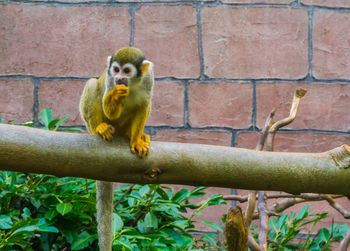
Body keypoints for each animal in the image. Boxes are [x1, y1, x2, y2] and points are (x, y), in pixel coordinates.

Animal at [80, 47, 154, 251]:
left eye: (126, 71)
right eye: (116, 69)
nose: (120, 78)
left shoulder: (148, 78)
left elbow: (144, 104)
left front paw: (137, 141)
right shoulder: (109, 79)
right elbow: (109, 108)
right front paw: (115, 95)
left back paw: (134, 136)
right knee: (92, 84)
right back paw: (100, 129)